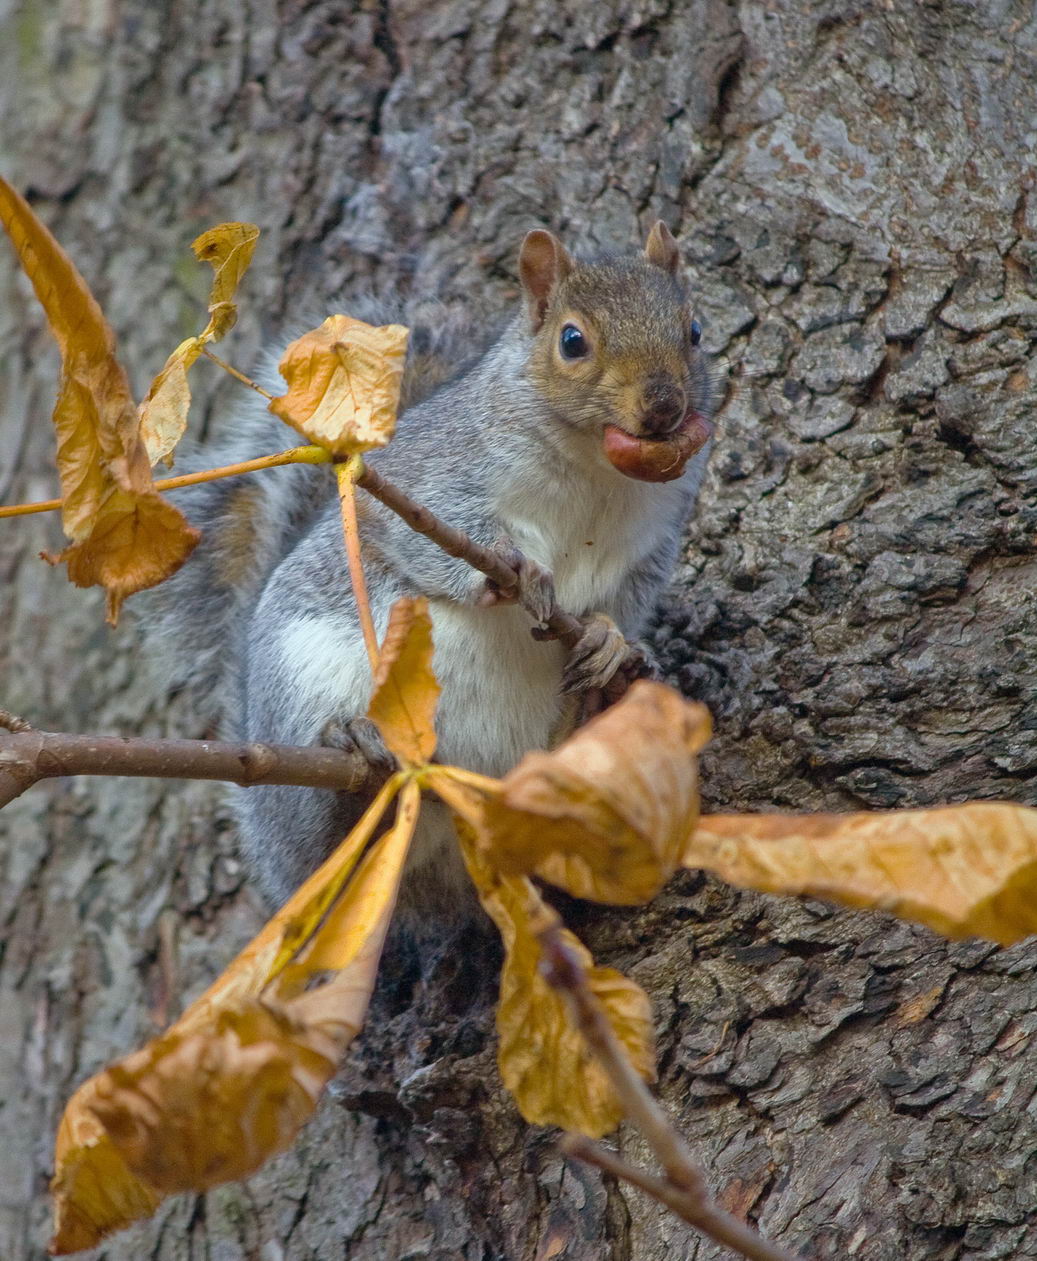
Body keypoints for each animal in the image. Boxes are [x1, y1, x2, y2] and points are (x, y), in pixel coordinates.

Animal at [148, 224, 716, 918]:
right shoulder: (433, 478)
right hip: (300, 701)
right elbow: (432, 538)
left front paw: (610, 639)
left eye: (694, 330)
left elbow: (627, 602)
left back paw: (590, 713)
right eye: (572, 341)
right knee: (320, 837)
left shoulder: (653, 540)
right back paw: (350, 752)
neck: (596, 469)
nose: (663, 407)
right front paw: (518, 573)